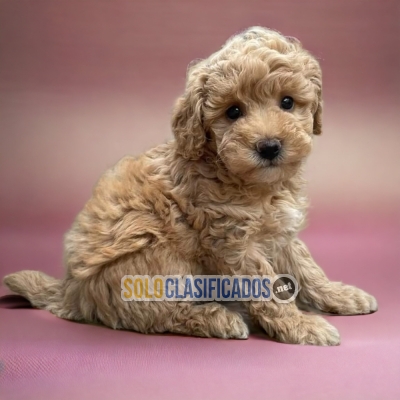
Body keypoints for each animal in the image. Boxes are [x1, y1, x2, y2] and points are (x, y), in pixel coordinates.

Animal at [3, 26, 378, 346]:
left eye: (287, 102)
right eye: (233, 112)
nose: (269, 146)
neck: (253, 183)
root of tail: (72, 292)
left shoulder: (278, 233)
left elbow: (306, 267)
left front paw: (339, 296)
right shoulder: (231, 241)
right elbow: (267, 287)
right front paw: (302, 325)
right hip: (155, 255)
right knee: (155, 313)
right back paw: (216, 318)